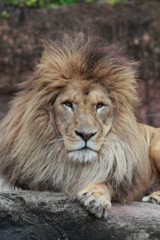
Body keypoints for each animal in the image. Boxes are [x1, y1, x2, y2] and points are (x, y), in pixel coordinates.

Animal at [0, 32, 160, 219]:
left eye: (100, 105)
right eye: (68, 104)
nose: (86, 135)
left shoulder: (124, 179)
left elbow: (105, 183)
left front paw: (96, 198)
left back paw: (154, 197)